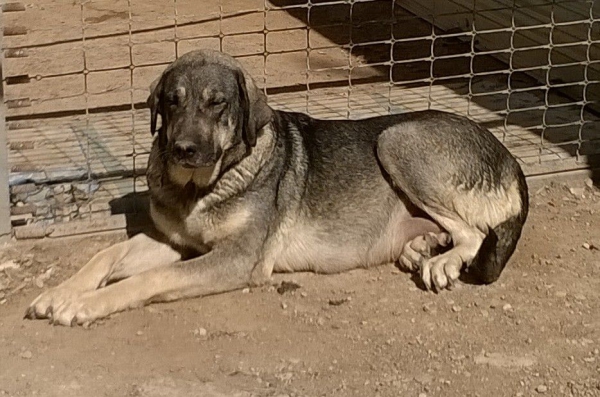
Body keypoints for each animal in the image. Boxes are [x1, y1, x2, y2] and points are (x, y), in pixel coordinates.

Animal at [25, 48, 528, 324]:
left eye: (217, 104)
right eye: (172, 101)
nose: (183, 149)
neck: (200, 188)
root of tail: (510, 157)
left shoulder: (238, 259)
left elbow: (151, 278)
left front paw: (86, 305)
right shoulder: (174, 242)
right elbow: (106, 255)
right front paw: (58, 293)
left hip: (397, 139)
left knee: (475, 233)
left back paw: (443, 261)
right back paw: (423, 247)